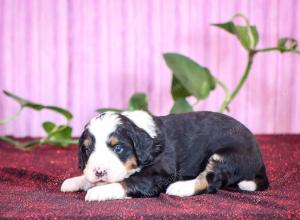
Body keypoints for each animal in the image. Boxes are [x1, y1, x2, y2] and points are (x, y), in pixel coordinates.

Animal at [61, 111, 270, 200]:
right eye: (87, 150)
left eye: (118, 148)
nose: (99, 172)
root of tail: (259, 159)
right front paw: (76, 181)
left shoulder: (159, 174)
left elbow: (127, 182)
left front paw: (98, 191)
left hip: (226, 156)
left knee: (211, 180)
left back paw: (181, 188)